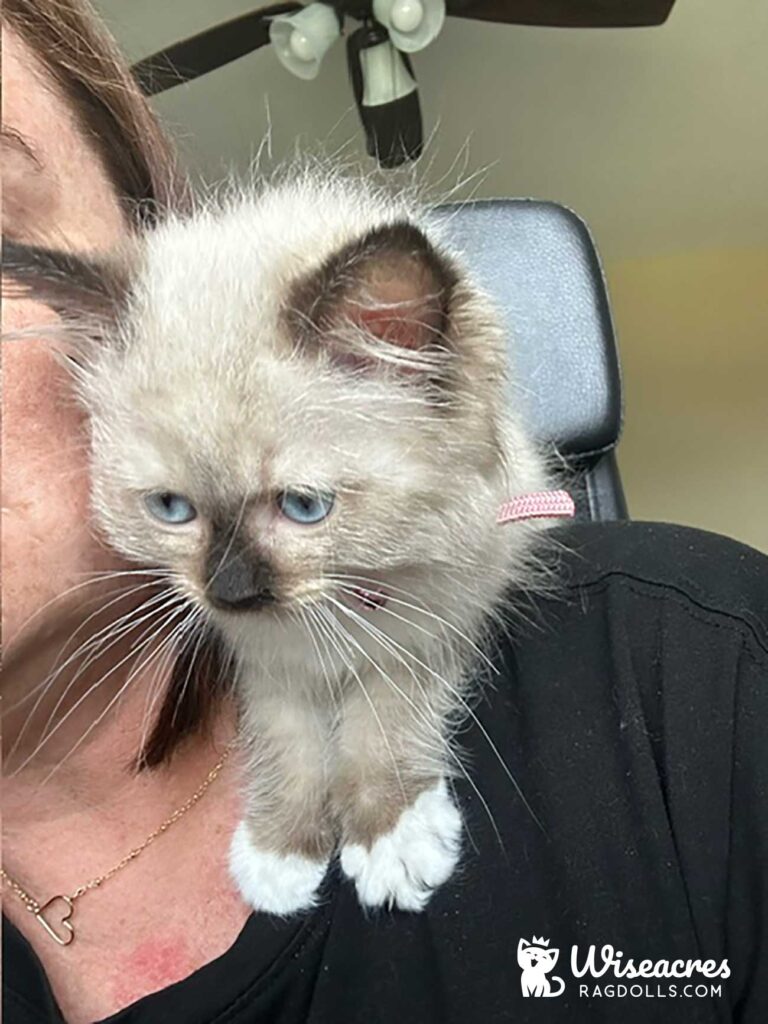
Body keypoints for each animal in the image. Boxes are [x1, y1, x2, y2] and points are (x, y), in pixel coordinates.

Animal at [4, 165, 565, 913]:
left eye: (303, 506)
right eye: (172, 509)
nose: (231, 592)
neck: (330, 614)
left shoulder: (440, 612)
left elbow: (382, 715)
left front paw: (389, 839)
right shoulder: (265, 660)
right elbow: (288, 740)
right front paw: (281, 854)